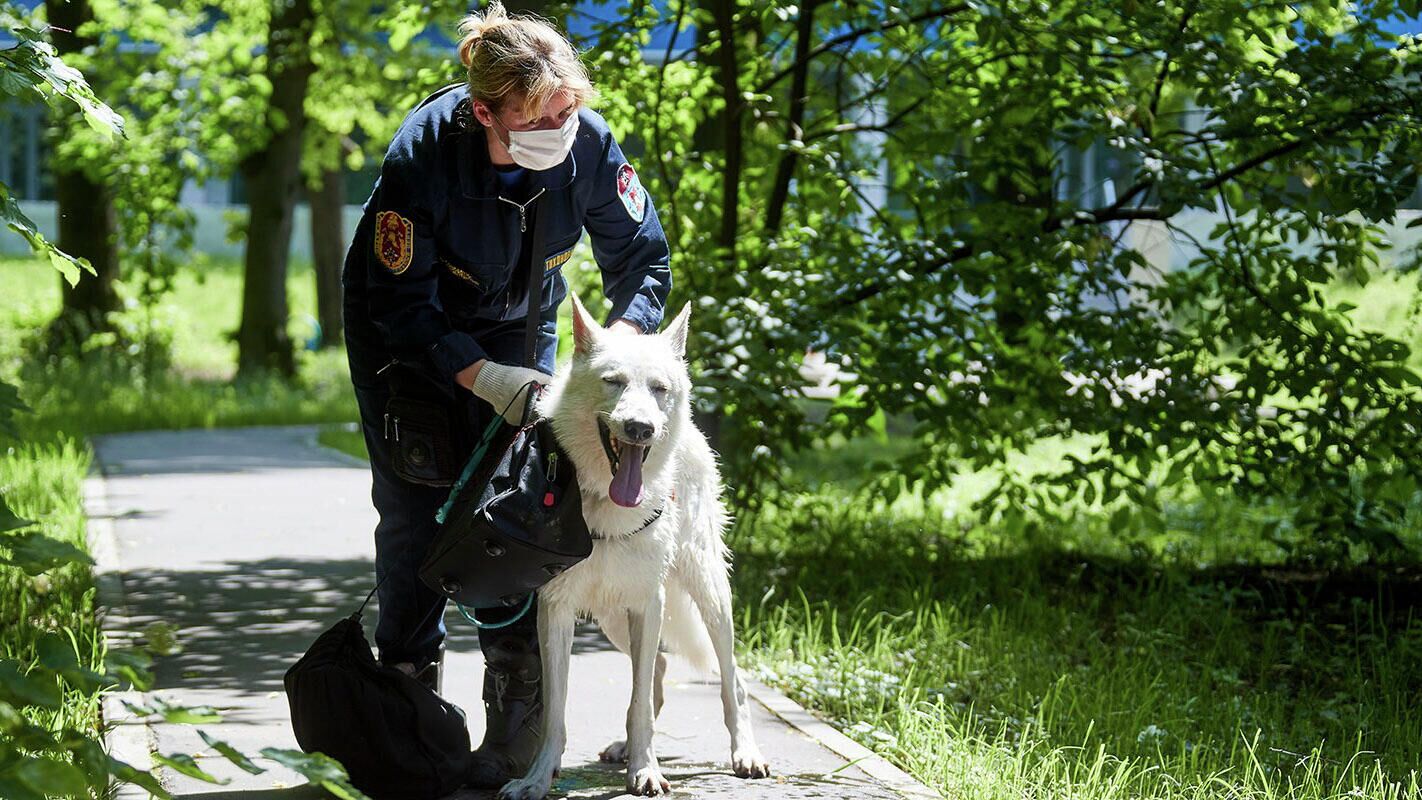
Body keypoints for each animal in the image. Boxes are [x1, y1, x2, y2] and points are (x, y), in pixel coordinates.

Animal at [497, 294, 773, 800]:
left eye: (659, 388)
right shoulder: (557, 610)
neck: (605, 503)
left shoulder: (649, 603)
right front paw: (536, 779)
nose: (640, 428)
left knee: (730, 679)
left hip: (707, 594)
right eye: (614, 382)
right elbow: (556, 714)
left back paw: (745, 754)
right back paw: (624, 748)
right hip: (611, 616)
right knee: (660, 671)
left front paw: (645, 771)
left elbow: (640, 701)